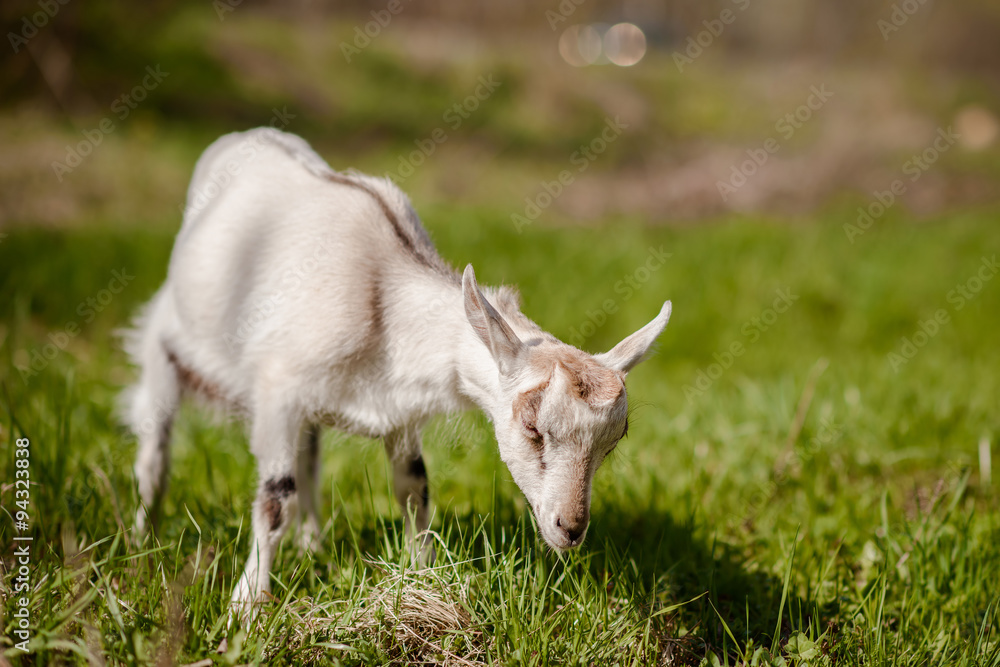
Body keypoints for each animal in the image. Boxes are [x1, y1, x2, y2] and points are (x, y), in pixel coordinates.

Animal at [123, 128, 672, 616]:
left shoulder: (399, 411)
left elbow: (414, 490)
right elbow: (275, 499)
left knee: (310, 458)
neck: (383, 301)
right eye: (534, 427)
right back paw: (140, 546)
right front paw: (247, 608)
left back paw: (312, 545)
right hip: (164, 335)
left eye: (613, 442)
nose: (570, 529)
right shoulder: (277, 389)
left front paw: (422, 577)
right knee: (155, 451)